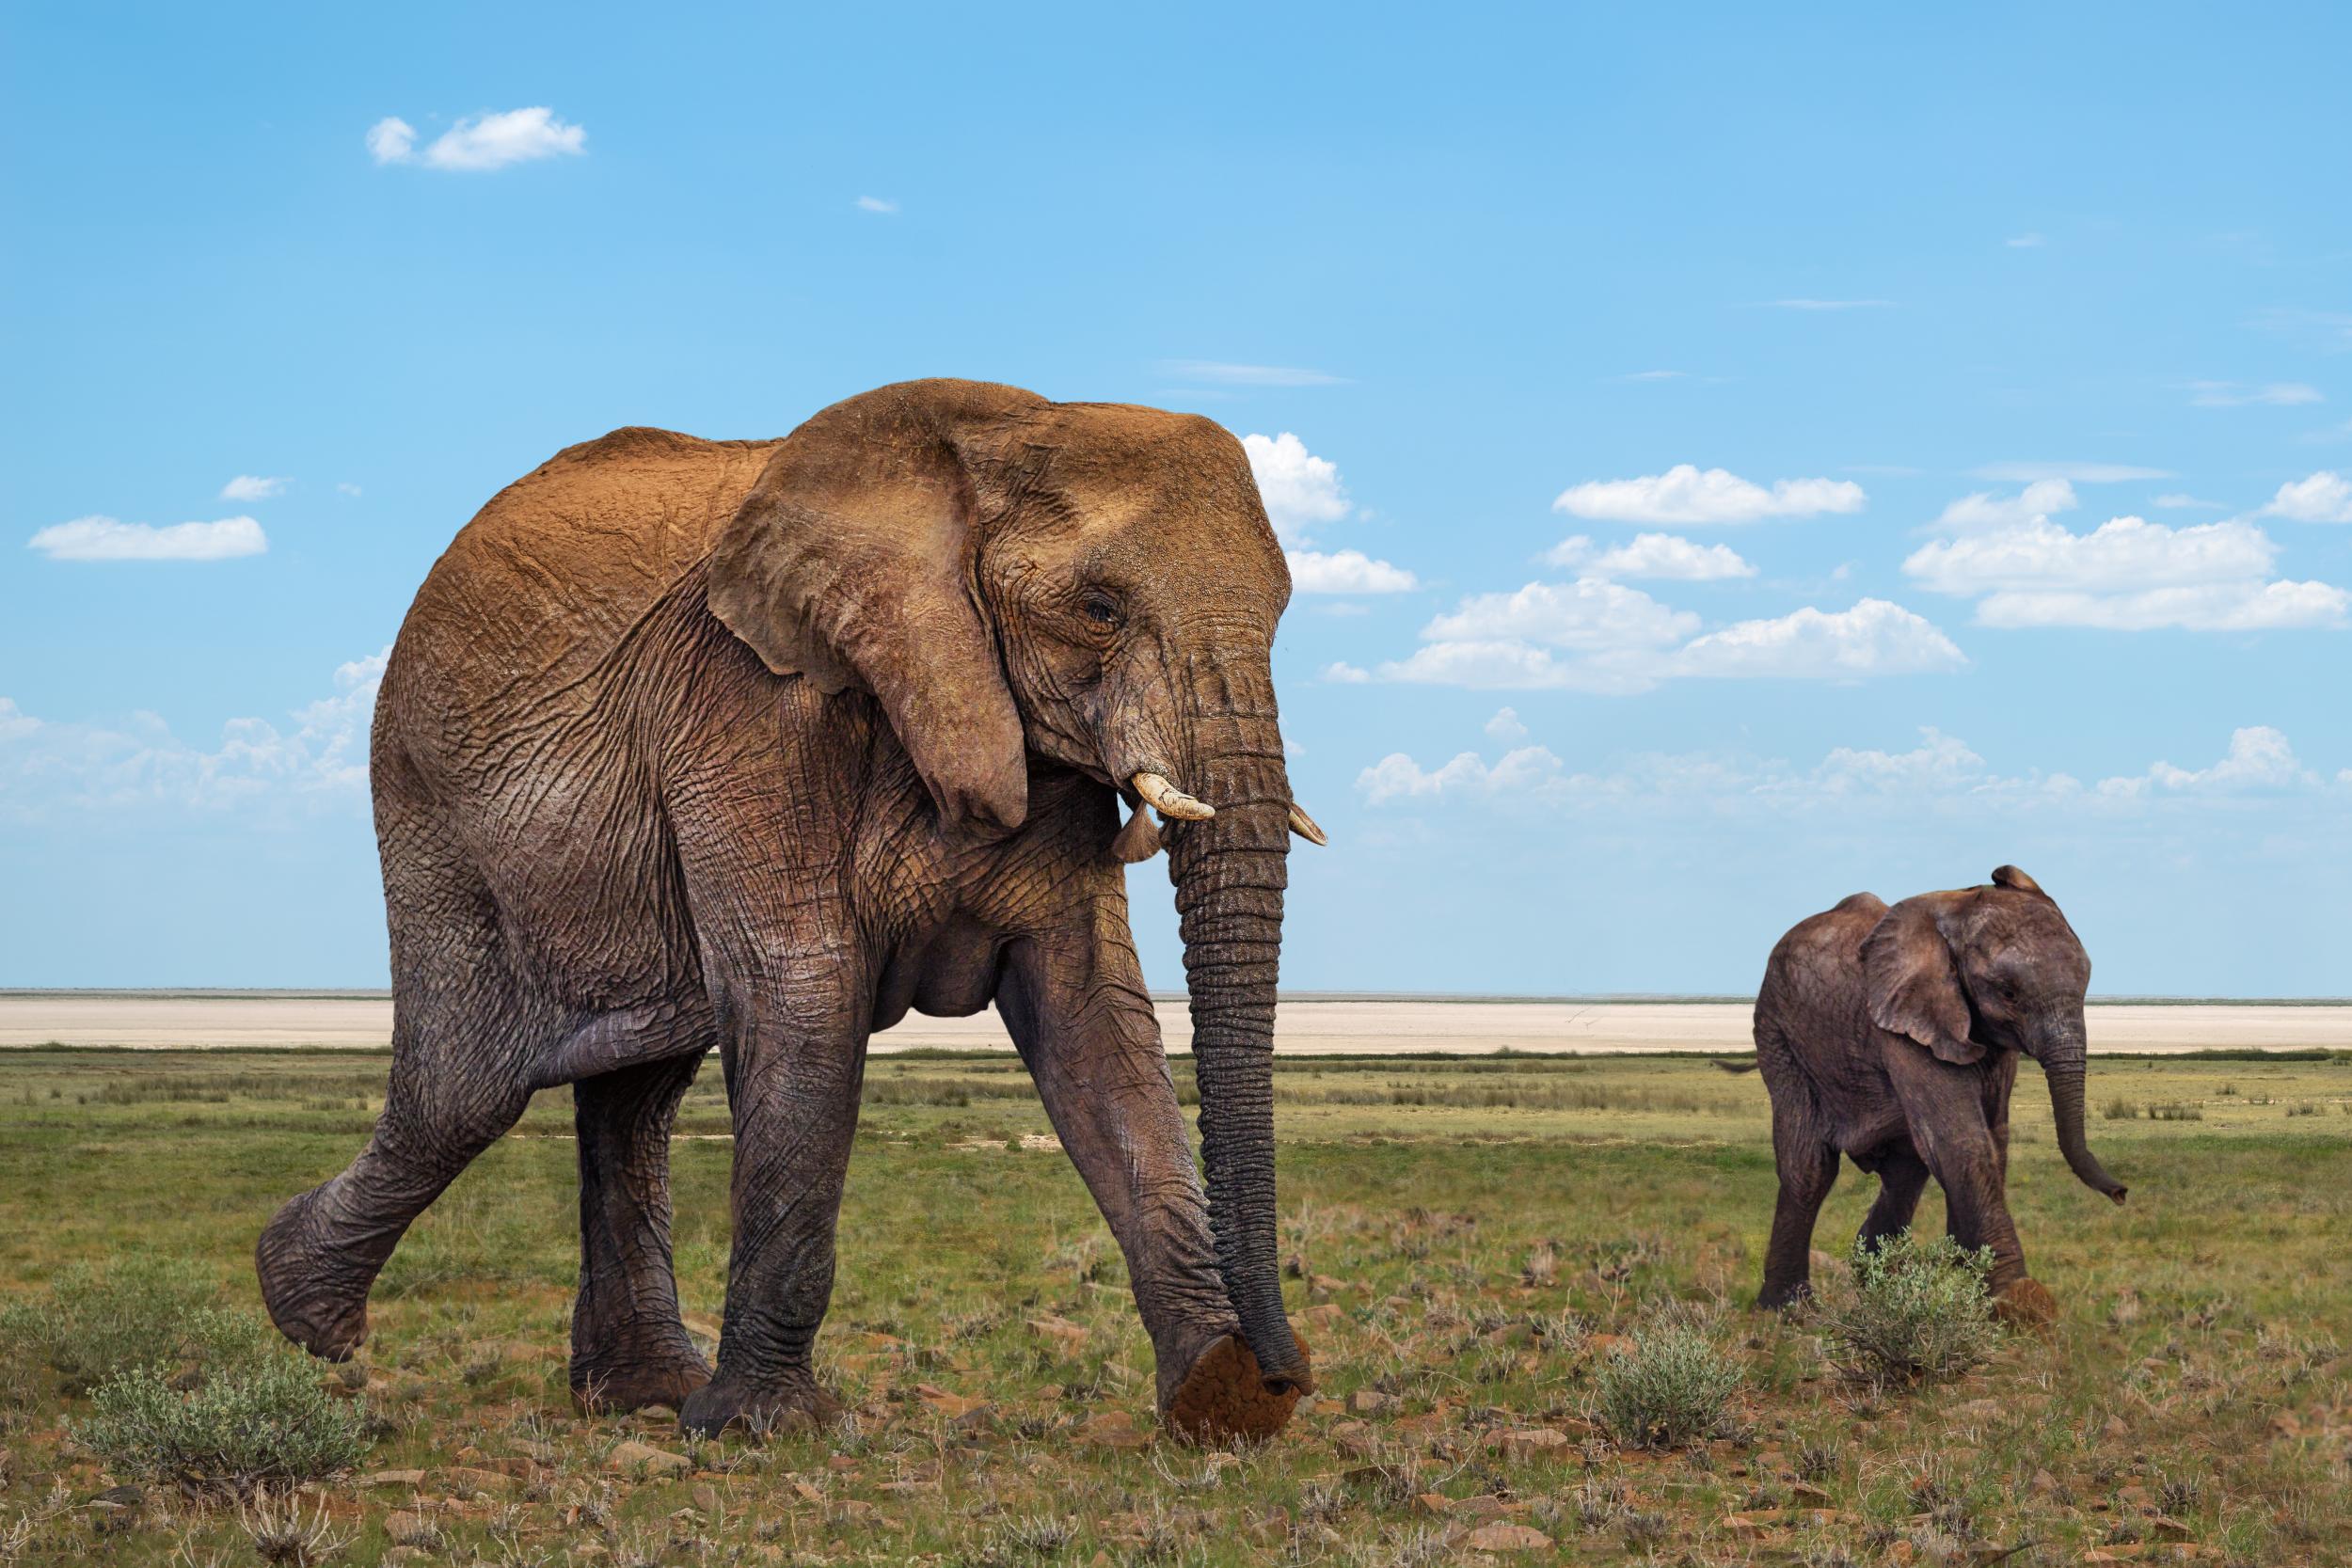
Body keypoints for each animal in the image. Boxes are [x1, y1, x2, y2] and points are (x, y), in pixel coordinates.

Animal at [264, 380, 1327, 1448]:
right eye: (1099, 609)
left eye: (1282, 615)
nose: (1290, 1374)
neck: (1001, 426)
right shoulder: (744, 704)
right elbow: (805, 992)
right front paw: (762, 1426)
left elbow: (1093, 1016)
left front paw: (1218, 1395)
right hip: (436, 815)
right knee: (466, 1091)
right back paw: (303, 1311)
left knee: (631, 1093)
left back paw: (641, 1390)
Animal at [1740, 864, 2126, 1316]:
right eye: (2008, 993)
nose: (2121, 1194)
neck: (1956, 910)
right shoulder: (1903, 1023)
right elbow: (1961, 1141)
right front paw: (2018, 1303)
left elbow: (1992, 1141)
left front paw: (1975, 1280)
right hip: (1779, 1034)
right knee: (1809, 1167)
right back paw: (1787, 1311)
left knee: (1905, 1170)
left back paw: (1876, 1289)